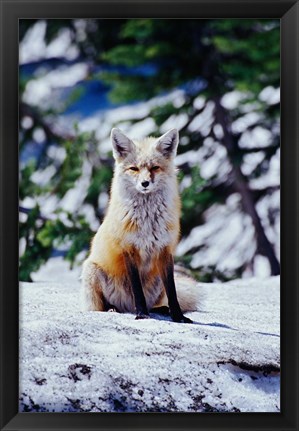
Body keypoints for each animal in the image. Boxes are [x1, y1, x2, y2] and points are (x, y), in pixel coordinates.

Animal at [81, 128, 200, 324]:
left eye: (154, 168)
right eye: (134, 169)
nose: (145, 183)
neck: (148, 222)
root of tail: (127, 307)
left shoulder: (165, 250)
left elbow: (173, 291)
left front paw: (178, 316)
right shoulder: (129, 249)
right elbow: (137, 290)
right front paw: (142, 315)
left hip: (157, 280)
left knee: (158, 301)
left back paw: (161, 309)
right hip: (92, 270)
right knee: (102, 306)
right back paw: (114, 308)